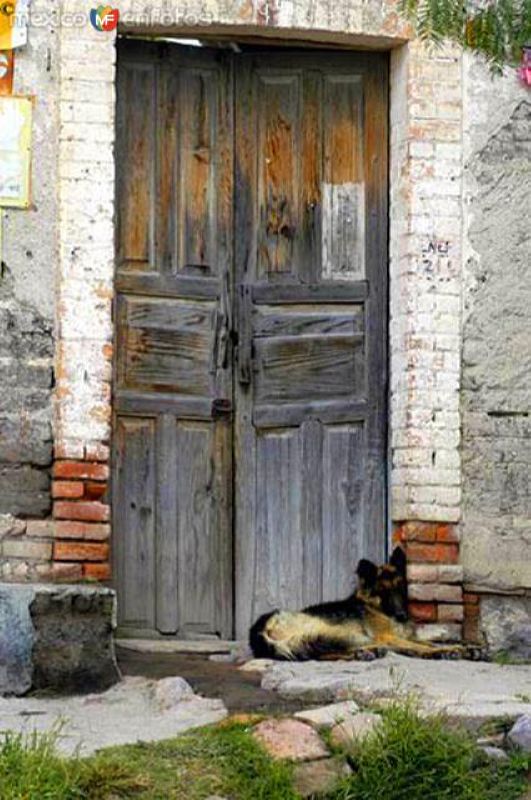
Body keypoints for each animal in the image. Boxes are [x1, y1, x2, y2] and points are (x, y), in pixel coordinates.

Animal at [247, 548, 460, 660]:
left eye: (400, 588)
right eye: (383, 592)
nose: (402, 616)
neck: (375, 607)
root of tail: (262, 625)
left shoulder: (398, 636)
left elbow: (425, 642)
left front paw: (460, 648)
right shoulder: (387, 636)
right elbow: (423, 646)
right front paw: (441, 651)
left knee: (318, 653)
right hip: (338, 632)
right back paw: (368, 652)